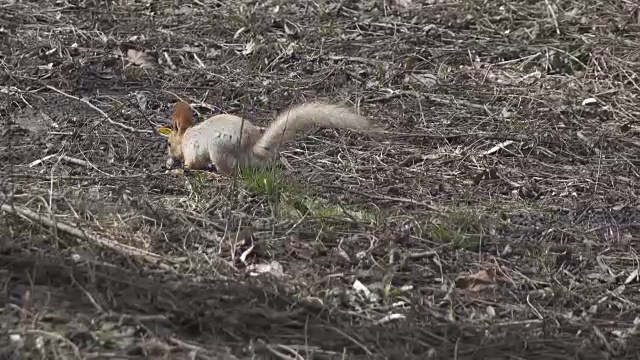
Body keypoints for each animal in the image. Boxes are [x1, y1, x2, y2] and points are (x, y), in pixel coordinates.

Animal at [156, 100, 376, 176]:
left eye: (168, 143)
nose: (169, 159)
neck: (187, 135)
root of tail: (253, 150)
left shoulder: (192, 150)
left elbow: (192, 163)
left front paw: (180, 168)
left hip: (218, 149)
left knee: (231, 174)